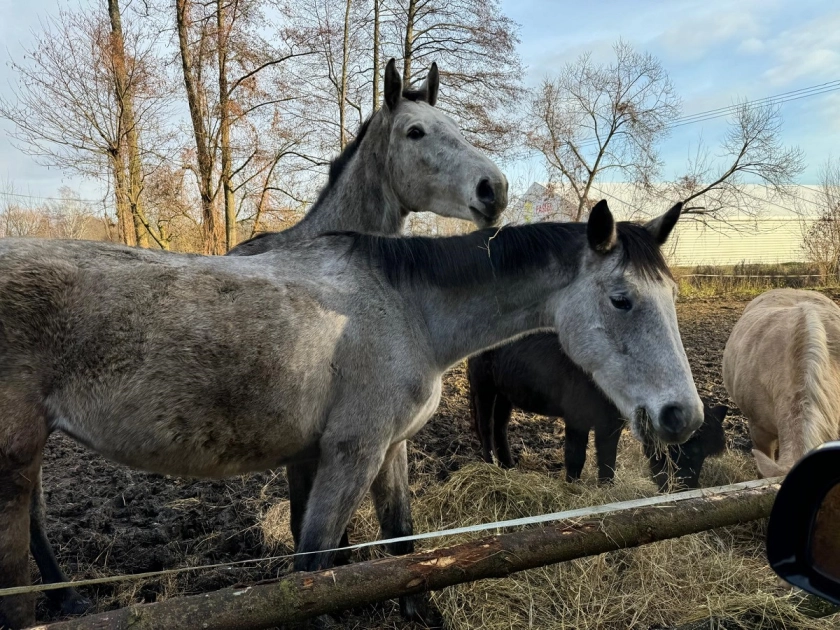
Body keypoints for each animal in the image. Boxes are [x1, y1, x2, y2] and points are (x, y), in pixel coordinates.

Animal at [470, 334, 724, 492]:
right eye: (689, 450)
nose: (687, 489)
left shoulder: (610, 423)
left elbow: (607, 460)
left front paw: (606, 490)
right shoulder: (576, 419)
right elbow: (576, 458)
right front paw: (571, 488)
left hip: (505, 392)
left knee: (500, 427)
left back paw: (509, 467)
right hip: (484, 386)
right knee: (486, 427)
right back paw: (489, 466)